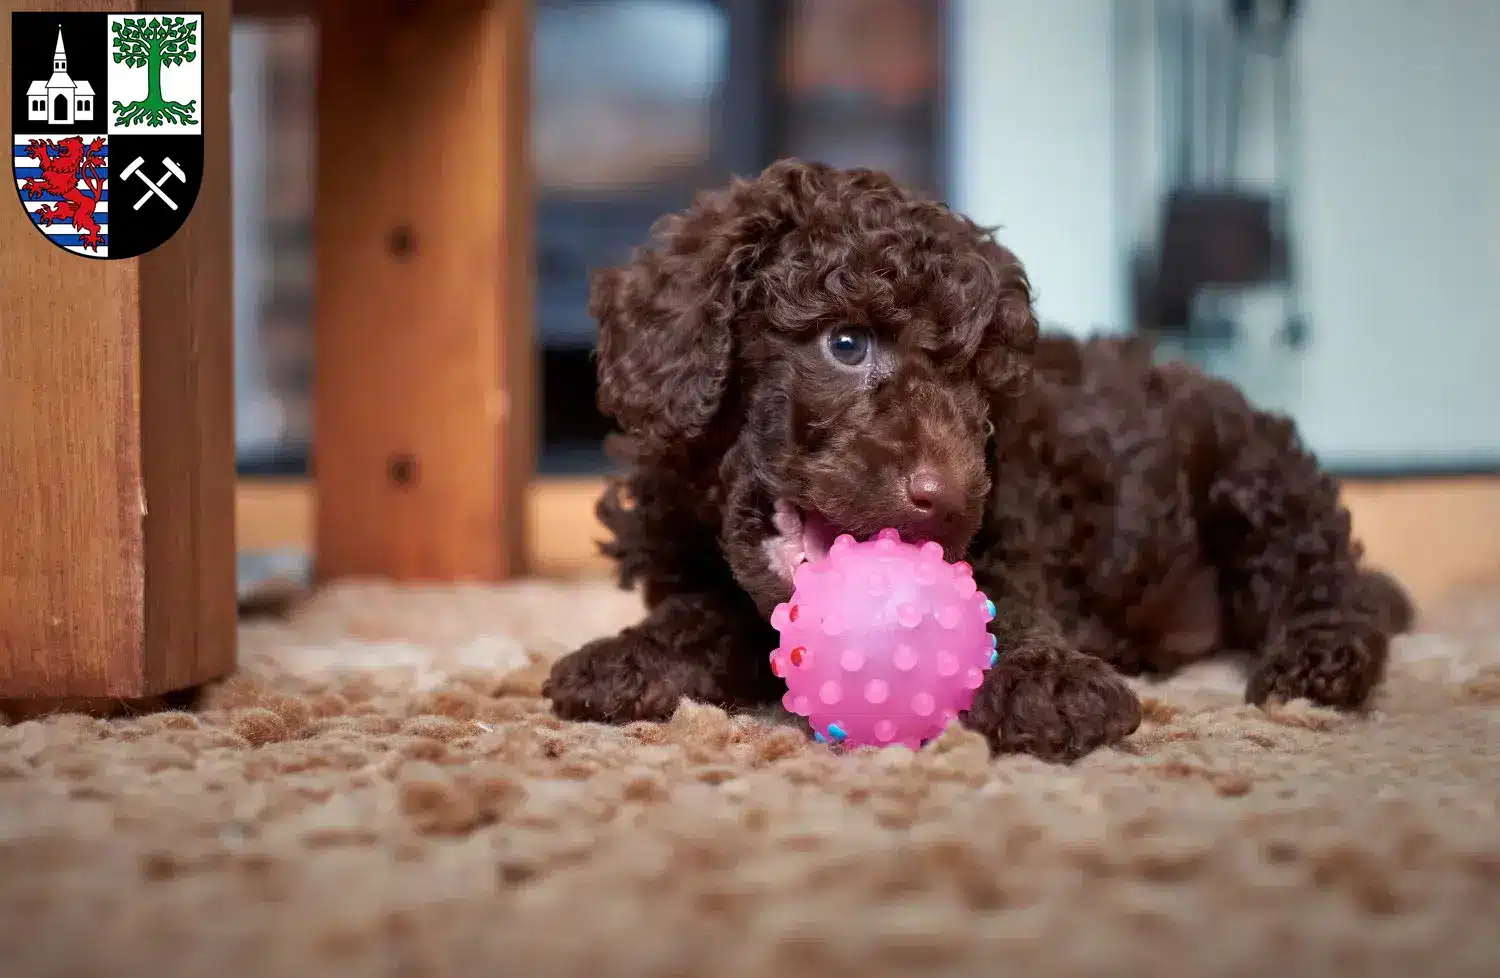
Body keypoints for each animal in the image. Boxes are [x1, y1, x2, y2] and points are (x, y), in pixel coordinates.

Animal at [546, 158, 1410, 765]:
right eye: (846, 344)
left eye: (982, 387)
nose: (951, 499)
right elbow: (700, 614)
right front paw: (628, 658)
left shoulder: (1013, 530)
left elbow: (1001, 608)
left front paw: (1048, 683)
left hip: (1254, 479)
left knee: (1322, 580)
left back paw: (1316, 661)